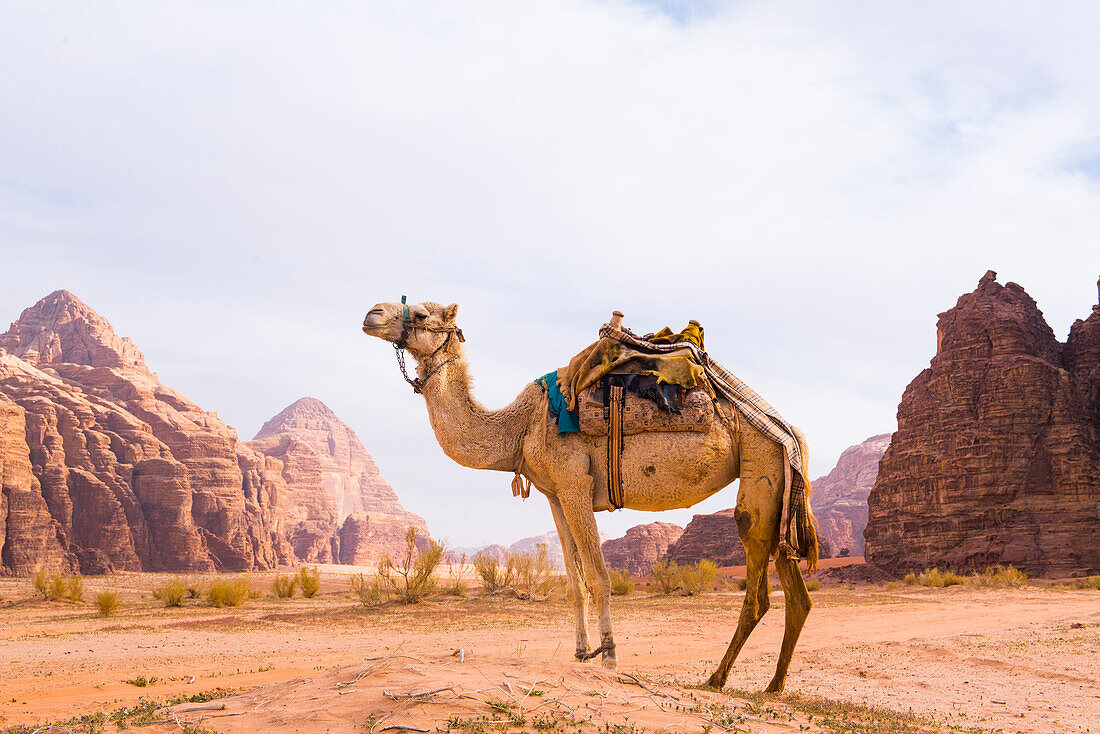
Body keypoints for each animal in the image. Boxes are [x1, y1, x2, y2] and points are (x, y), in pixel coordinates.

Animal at [363, 299, 818, 695]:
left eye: (422, 314)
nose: (373, 314)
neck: (520, 428)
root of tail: (793, 431)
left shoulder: (575, 484)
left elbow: (599, 578)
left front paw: (610, 657)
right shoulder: (555, 494)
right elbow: (574, 583)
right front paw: (581, 654)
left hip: (760, 469)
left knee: (757, 588)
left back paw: (717, 678)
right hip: (780, 489)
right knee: (797, 594)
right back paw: (774, 685)